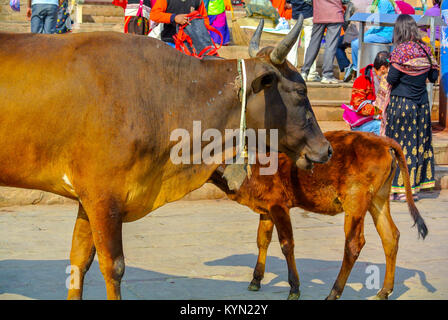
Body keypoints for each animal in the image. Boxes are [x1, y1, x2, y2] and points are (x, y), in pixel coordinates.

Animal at [210, 130, 428, 300]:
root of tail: (381, 140)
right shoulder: (266, 209)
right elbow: (262, 240)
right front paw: (256, 279)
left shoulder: (279, 206)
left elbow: (287, 245)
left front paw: (294, 287)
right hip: (378, 198)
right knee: (390, 236)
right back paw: (384, 290)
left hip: (355, 201)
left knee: (353, 244)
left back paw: (334, 292)